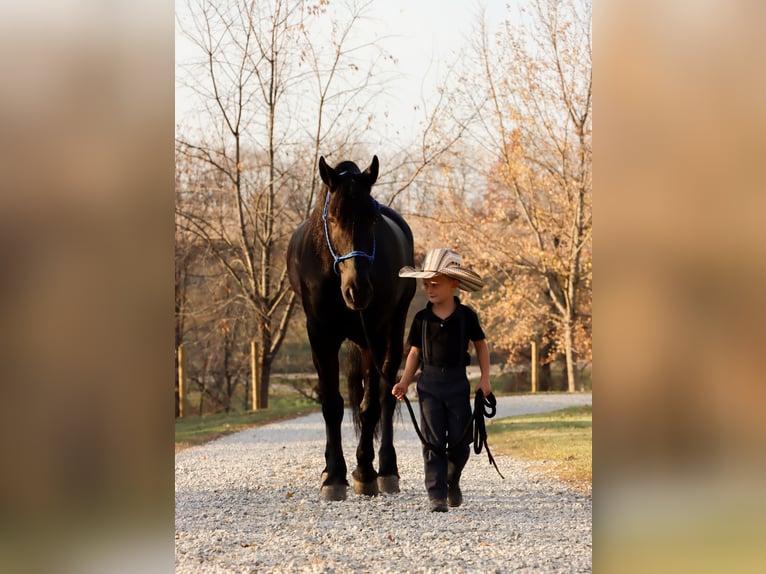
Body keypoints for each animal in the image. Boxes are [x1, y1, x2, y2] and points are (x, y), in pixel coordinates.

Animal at [287, 155, 416, 501]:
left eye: (371, 219)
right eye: (332, 218)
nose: (358, 290)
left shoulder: (374, 336)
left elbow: (370, 405)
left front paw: (365, 472)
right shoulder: (320, 336)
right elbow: (331, 405)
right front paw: (333, 475)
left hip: (392, 331)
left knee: (386, 395)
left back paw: (386, 469)